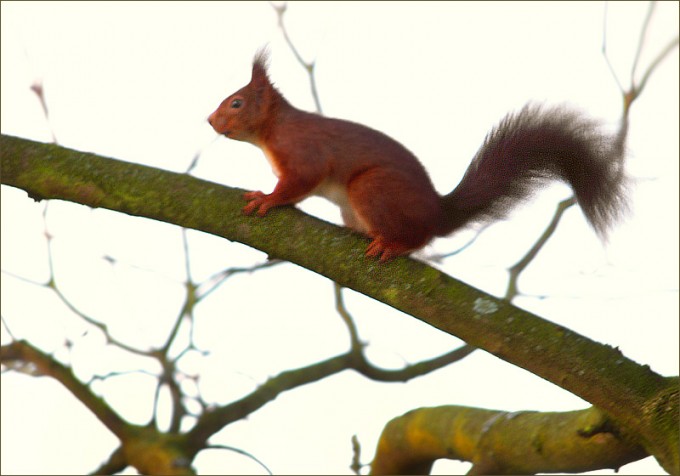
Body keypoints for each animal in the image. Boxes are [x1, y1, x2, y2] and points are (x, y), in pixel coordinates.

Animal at [208, 50, 628, 261]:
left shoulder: (303, 154)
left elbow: (299, 182)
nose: (210, 120)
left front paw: (267, 198)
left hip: (372, 188)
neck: (273, 131)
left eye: (236, 103)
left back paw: (393, 244)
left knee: (418, 239)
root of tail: (438, 213)